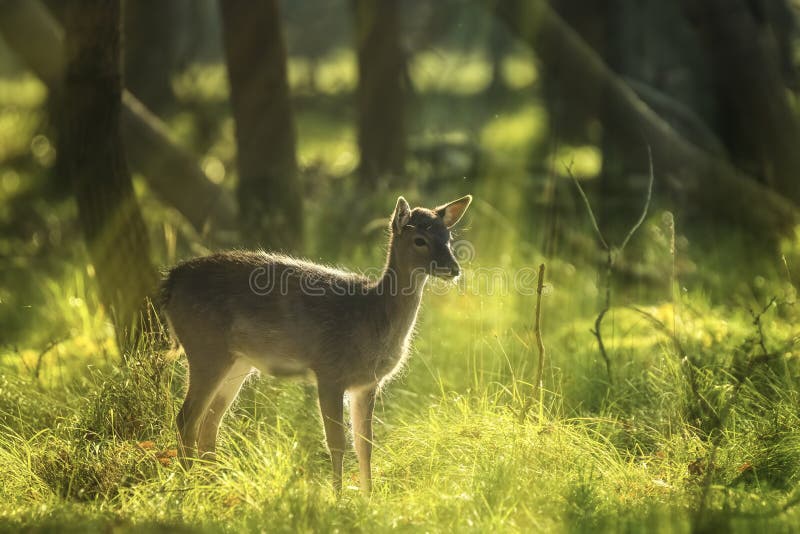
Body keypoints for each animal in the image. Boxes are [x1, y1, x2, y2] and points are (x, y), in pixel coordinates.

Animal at [160, 196, 472, 494]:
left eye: (448, 237)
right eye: (420, 239)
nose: (454, 269)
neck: (371, 315)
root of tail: (171, 281)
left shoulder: (368, 383)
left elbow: (365, 444)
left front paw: (369, 498)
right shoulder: (330, 371)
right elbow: (337, 442)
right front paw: (338, 498)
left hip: (238, 362)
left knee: (210, 424)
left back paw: (210, 486)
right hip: (205, 347)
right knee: (187, 418)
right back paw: (189, 485)